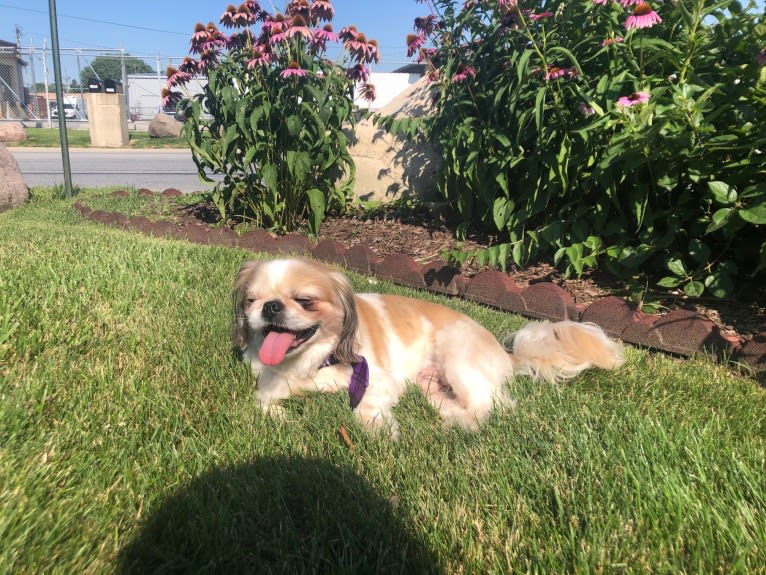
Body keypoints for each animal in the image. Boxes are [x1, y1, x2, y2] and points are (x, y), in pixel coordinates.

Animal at [232, 258, 624, 430]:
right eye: (252, 301)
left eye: (305, 301)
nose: (271, 306)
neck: (317, 359)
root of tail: (505, 353)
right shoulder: (269, 380)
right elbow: (263, 400)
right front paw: (282, 416)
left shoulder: (376, 379)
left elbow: (364, 409)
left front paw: (378, 431)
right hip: (430, 384)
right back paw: (449, 416)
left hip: (457, 357)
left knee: (488, 405)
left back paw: (457, 425)